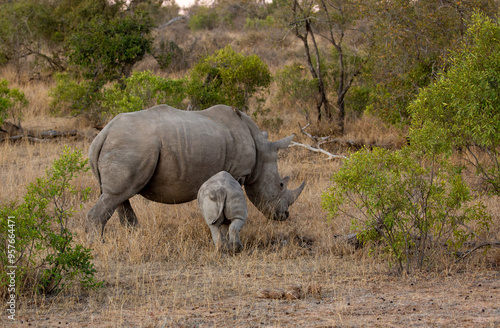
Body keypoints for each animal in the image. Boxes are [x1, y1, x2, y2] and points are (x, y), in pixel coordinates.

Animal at [86, 105, 304, 236]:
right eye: (281, 184)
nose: (284, 215)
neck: (260, 148)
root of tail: (104, 132)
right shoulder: (238, 172)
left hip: (125, 144)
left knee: (119, 196)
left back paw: (134, 236)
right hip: (131, 144)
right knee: (117, 195)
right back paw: (98, 245)